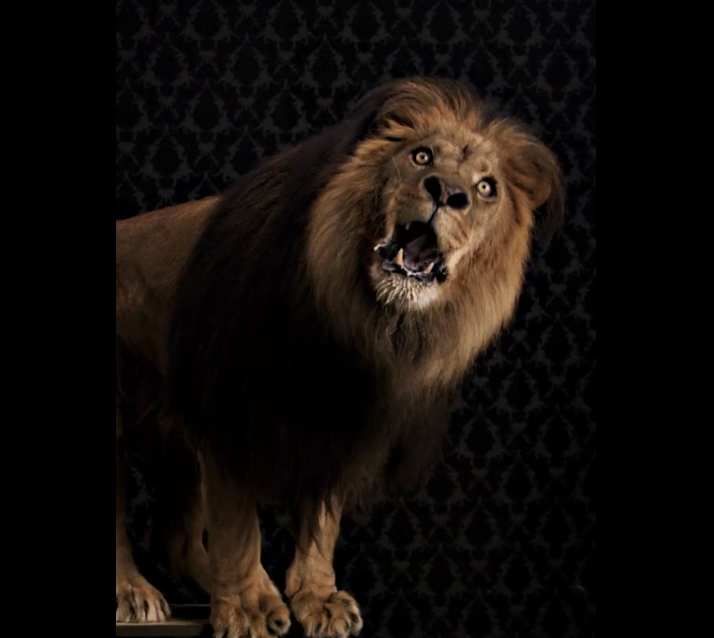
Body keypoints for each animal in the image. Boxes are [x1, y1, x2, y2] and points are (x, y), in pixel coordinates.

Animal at [115, 77, 565, 638]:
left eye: (487, 188)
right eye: (421, 156)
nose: (447, 192)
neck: (364, 319)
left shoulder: (345, 418)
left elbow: (322, 519)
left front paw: (315, 598)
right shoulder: (230, 402)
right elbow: (238, 524)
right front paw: (249, 606)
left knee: (174, 541)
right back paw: (136, 594)